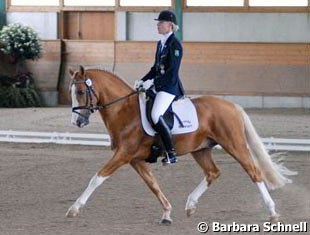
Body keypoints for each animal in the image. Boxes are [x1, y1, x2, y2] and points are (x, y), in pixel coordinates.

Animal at [65, 65, 296, 224]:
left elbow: (97, 178)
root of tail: (231, 105)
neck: (124, 111)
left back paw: (273, 213)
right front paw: (167, 213)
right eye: (71, 93)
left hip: (234, 144)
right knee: (213, 173)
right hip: (201, 149)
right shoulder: (135, 160)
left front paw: (74, 208)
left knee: (254, 172)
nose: (77, 122)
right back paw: (190, 205)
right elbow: (153, 184)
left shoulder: (123, 155)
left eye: (80, 92)